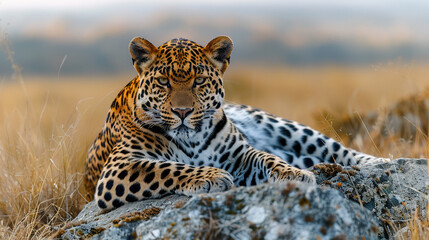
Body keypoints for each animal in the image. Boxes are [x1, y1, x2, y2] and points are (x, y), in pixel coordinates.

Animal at [83, 35, 388, 210]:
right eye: (163, 82)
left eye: (199, 81)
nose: (182, 111)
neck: (192, 139)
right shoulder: (118, 168)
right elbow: (166, 168)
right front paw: (210, 176)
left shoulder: (239, 155)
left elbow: (267, 158)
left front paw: (292, 174)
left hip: (286, 128)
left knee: (339, 150)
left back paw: (379, 162)